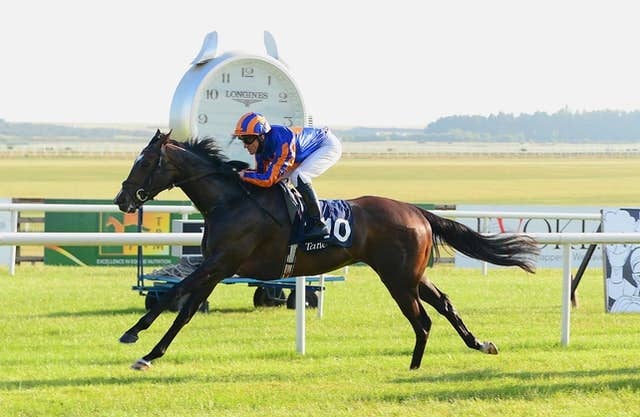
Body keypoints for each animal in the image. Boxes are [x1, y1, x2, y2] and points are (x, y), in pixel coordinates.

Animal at [114, 129, 539, 371]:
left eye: (146, 162)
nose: (122, 199)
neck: (231, 202)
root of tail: (416, 210)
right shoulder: (217, 267)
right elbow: (185, 310)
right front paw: (150, 354)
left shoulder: (220, 262)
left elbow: (171, 294)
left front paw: (132, 335)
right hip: (411, 275)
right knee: (444, 305)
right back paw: (479, 344)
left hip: (398, 279)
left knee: (422, 321)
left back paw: (414, 369)